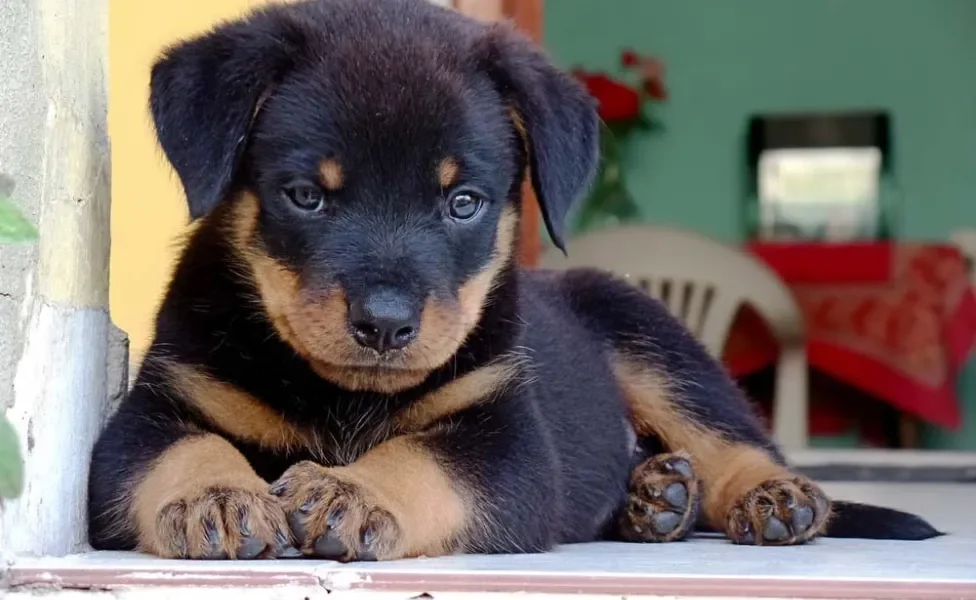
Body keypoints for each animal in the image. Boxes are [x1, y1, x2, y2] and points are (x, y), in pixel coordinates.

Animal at [87, 0, 940, 560]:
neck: (342, 396)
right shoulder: (151, 412)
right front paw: (215, 495)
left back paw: (768, 496)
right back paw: (655, 497)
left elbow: (423, 459)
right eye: (305, 195)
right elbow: (180, 449)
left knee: (728, 431)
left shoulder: (505, 441)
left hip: (644, 328)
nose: (386, 323)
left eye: (463, 201)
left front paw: (351, 492)